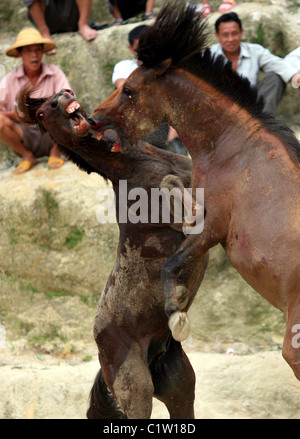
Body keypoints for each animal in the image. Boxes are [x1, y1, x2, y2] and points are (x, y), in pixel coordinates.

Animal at [17, 87, 209, 420]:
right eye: (41, 113)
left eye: (58, 94)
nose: (63, 95)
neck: (136, 165)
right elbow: (172, 187)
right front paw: (188, 215)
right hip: (136, 387)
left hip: (181, 387)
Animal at [86, 1, 300, 382]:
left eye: (129, 90)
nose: (95, 119)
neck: (232, 144)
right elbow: (171, 192)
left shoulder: (212, 228)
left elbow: (171, 264)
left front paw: (176, 312)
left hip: (294, 349)